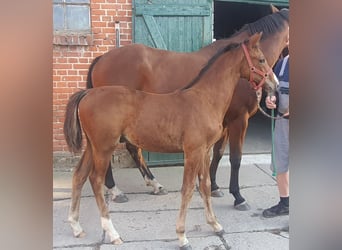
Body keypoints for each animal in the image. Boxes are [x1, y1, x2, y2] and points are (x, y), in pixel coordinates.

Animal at [63, 32, 278, 248]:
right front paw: (182, 236)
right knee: (95, 180)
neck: (205, 98)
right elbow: (188, 189)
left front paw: (215, 224)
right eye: (261, 59)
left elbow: (206, 186)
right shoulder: (193, 151)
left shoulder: (205, 151)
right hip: (104, 147)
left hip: (92, 146)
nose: (275, 85)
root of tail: (87, 94)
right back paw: (113, 232)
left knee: (79, 176)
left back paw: (76, 226)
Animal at [86, 7, 288, 209]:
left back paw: (154, 185)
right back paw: (115, 190)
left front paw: (213, 187)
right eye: (261, 60)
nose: (275, 84)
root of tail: (101, 58)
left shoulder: (225, 122)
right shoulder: (239, 119)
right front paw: (238, 197)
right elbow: (235, 158)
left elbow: (217, 154)